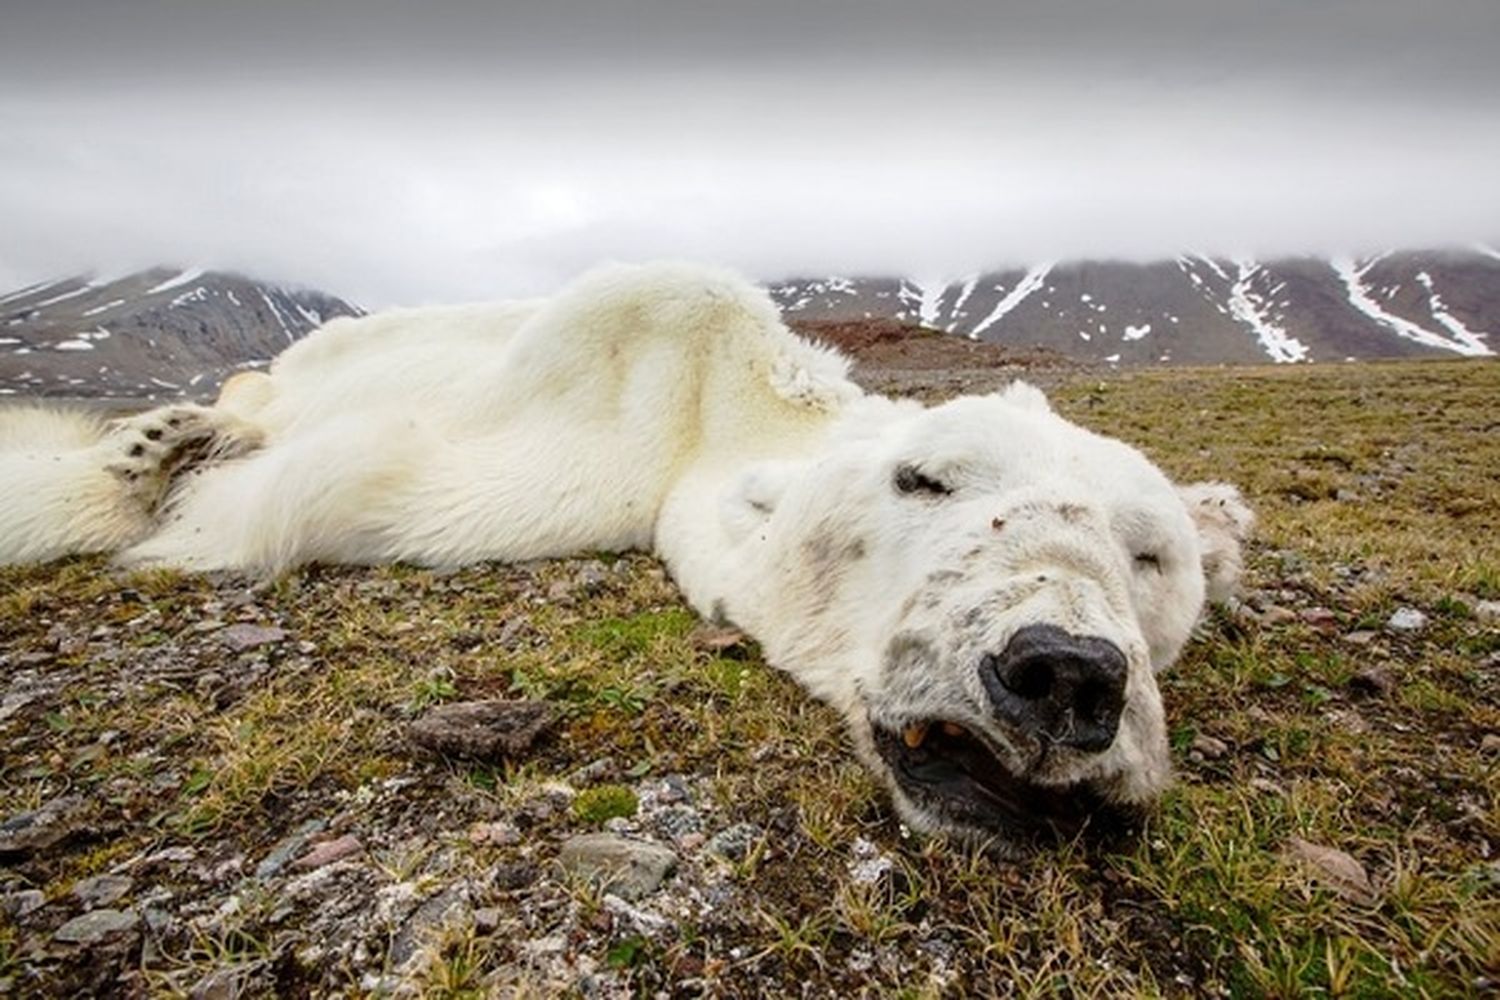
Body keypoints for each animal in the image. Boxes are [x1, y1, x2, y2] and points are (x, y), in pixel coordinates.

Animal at [0, 262, 1248, 851]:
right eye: (925, 478)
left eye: (1150, 554)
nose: (1065, 673)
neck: (720, 409)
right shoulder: (605, 391)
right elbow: (336, 483)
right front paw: (150, 472)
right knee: (263, 385)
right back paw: (175, 430)